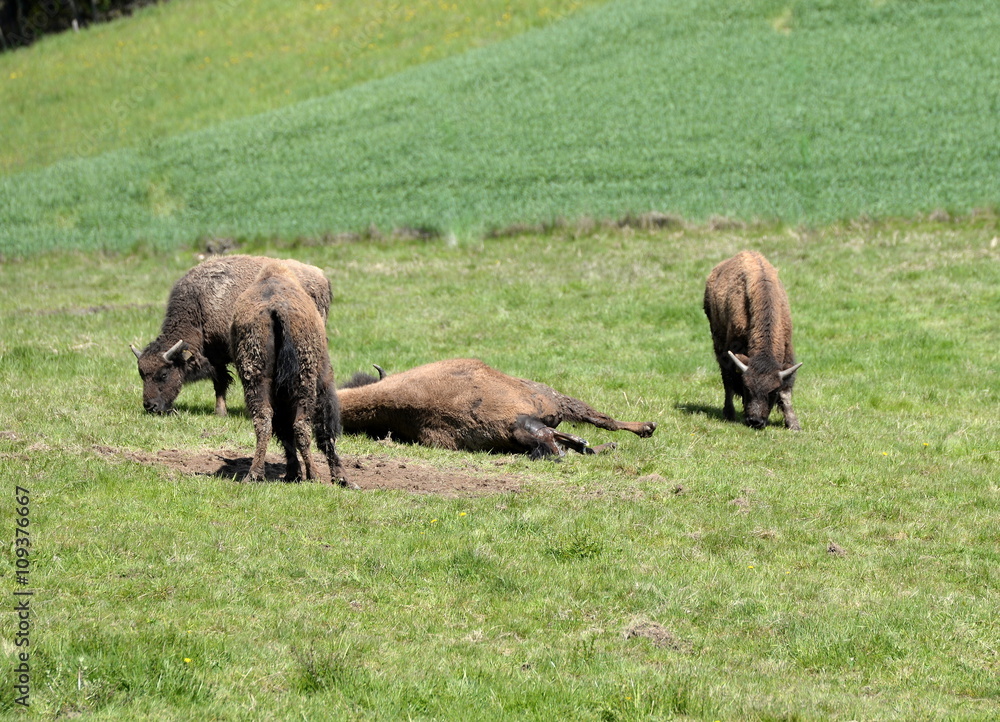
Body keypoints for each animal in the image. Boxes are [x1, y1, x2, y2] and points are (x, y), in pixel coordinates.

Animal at [127, 255, 332, 414]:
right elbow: (220, 382)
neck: (200, 307)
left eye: (163, 374)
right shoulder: (214, 357)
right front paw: (220, 411)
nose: (150, 406)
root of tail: (321, 276)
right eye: (142, 374)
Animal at [232, 258, 350, 484]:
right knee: (301, 425)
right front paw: (341, 478)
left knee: (264, 422)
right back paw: (314, 475)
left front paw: (293, 473)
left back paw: (255, 474)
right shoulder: (324, 383)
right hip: (306, 381)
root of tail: (275, 308)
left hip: (256, 379)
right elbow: (325, 429)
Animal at [704, 249, 804, 428]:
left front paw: (793, 424)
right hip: (717, 341)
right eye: (747, 388)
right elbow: (730, 379)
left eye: (772, 391)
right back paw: (729, 412)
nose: (755, 421)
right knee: (726, 380)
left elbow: (786, 393)